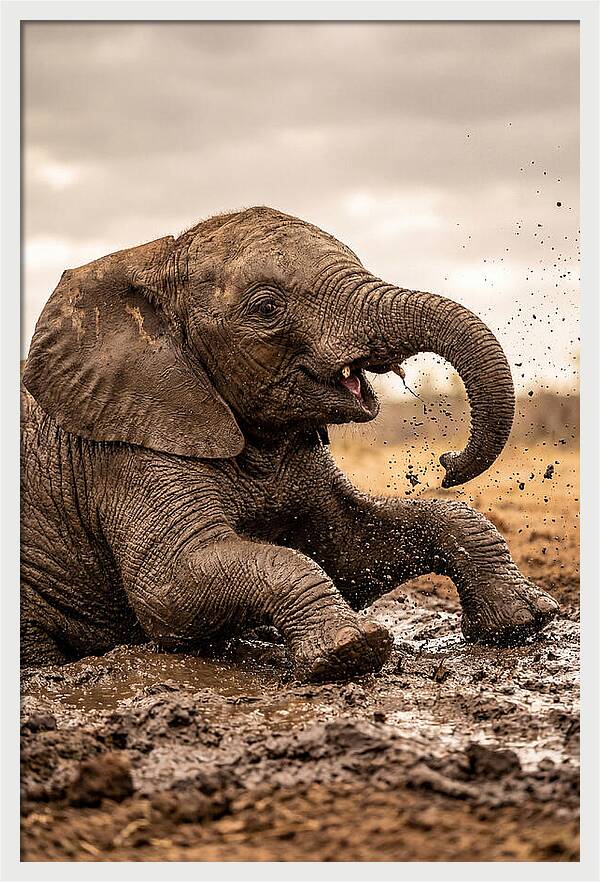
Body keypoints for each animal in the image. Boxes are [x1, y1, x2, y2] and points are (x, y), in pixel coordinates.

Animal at [21, 206, 559, 681]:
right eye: (266, 308)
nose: (447, 462)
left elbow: (350, 549)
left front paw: (525, 621)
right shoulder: (127, 450)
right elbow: (170, 589)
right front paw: (351, 650)